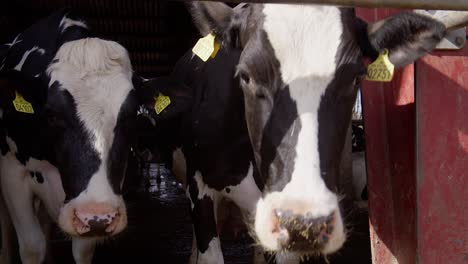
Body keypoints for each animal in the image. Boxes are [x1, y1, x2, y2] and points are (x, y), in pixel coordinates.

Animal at [0, 9, 166, 262]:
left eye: (131, 117)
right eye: (52, 115)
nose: (97, 216)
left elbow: (82, 249)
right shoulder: (12, 172)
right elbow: (31, 246)